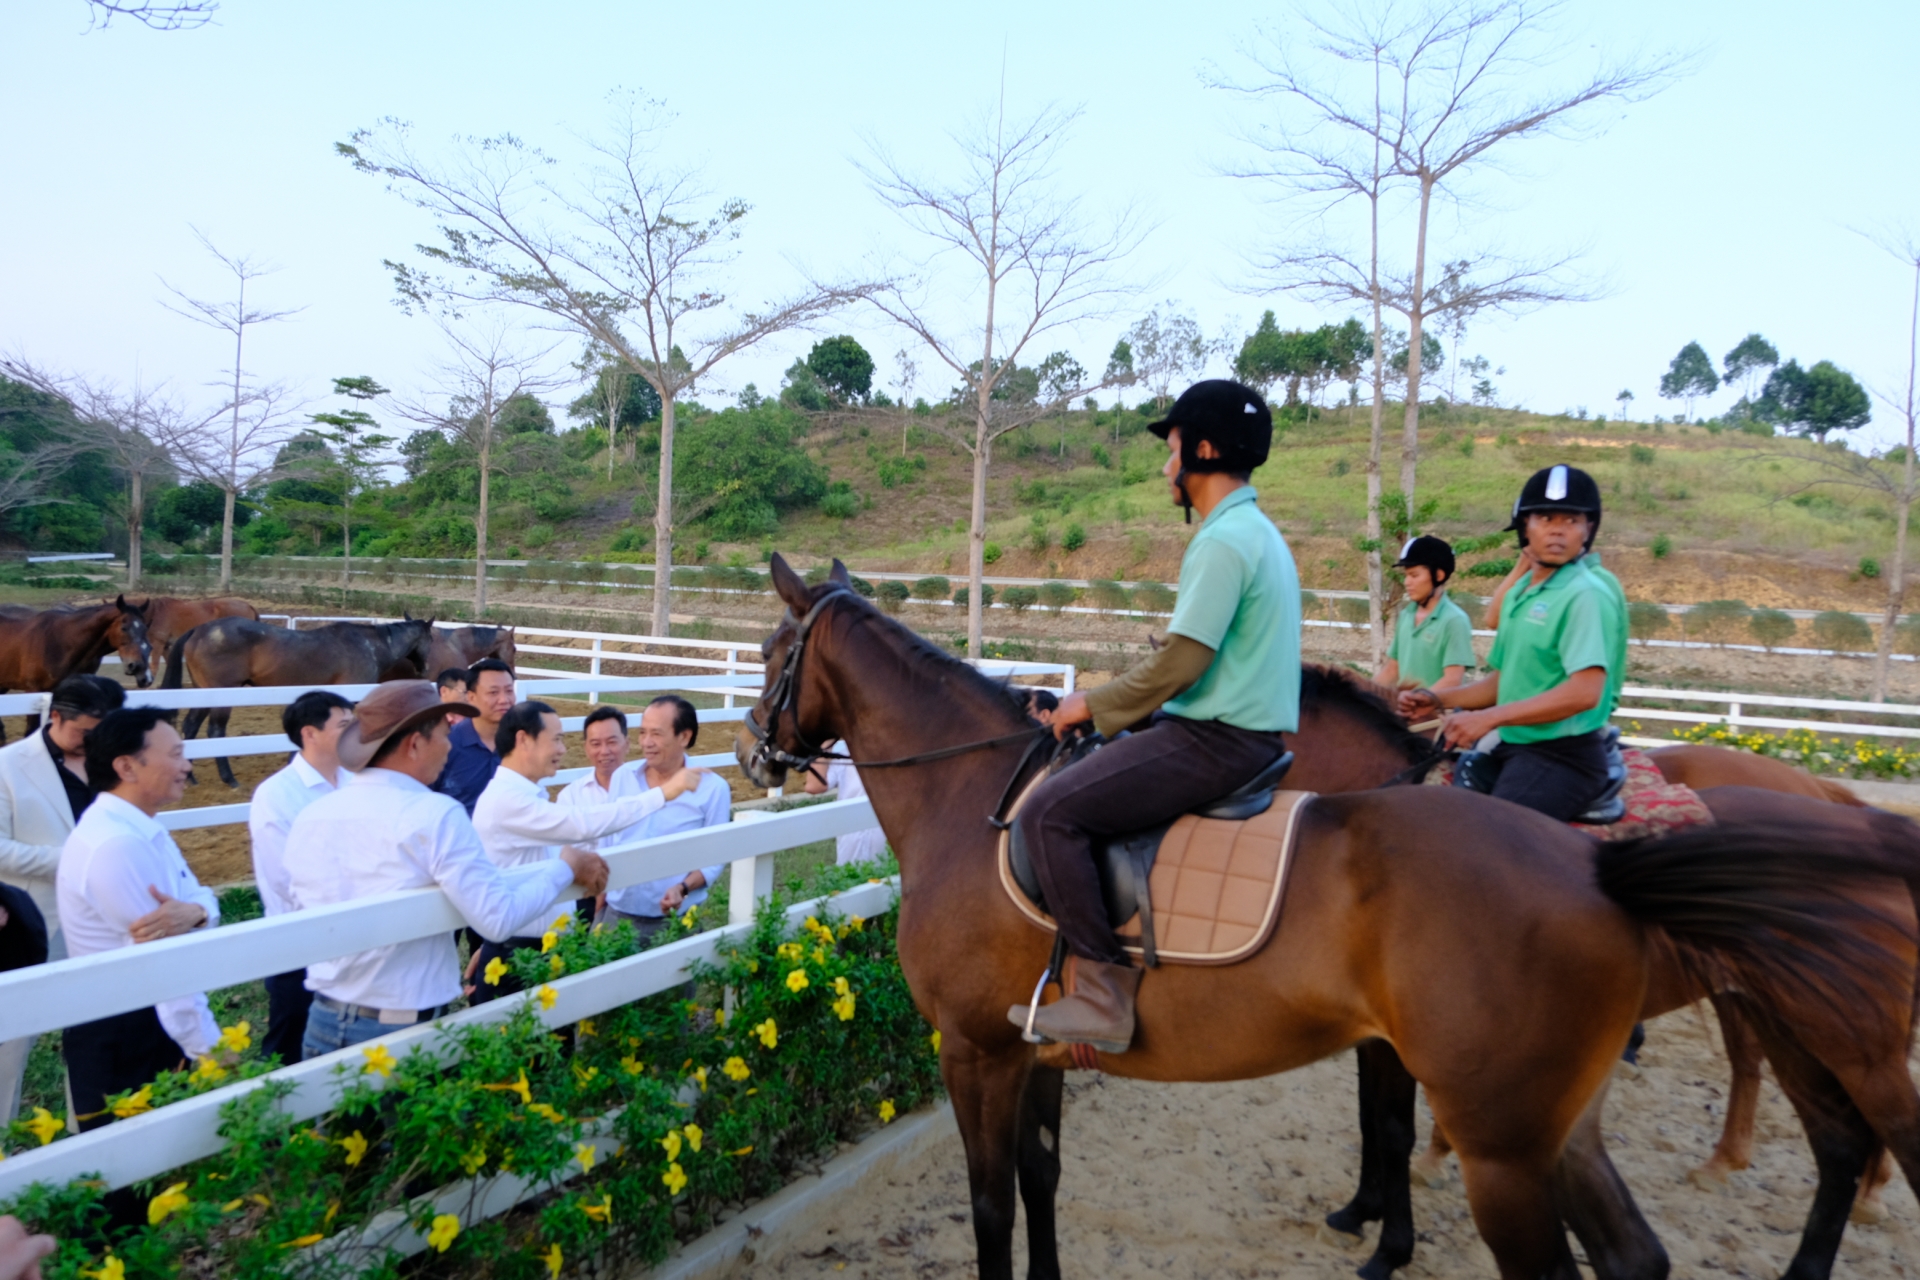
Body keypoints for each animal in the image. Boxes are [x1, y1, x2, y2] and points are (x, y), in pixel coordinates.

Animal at [162, 614, 435, 786]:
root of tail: (199, 630)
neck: (369, 645)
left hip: (203, 693)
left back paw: (190, 776)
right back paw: (229, 778)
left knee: (191, 725)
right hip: (223, 696)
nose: (426, 668)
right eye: (431, 640)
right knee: (215, 731)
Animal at [729, 564, 1920, 1280]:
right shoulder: (1037, 1049)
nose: (753, 754)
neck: (978, 799)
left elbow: (988, 1205)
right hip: (1591, 1107)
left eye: (773, 652)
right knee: (1712, 1210)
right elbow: (1040, 1181)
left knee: (1869, 1136)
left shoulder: (972, 1049)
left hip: (1556, 1127)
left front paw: (1383, 1235)